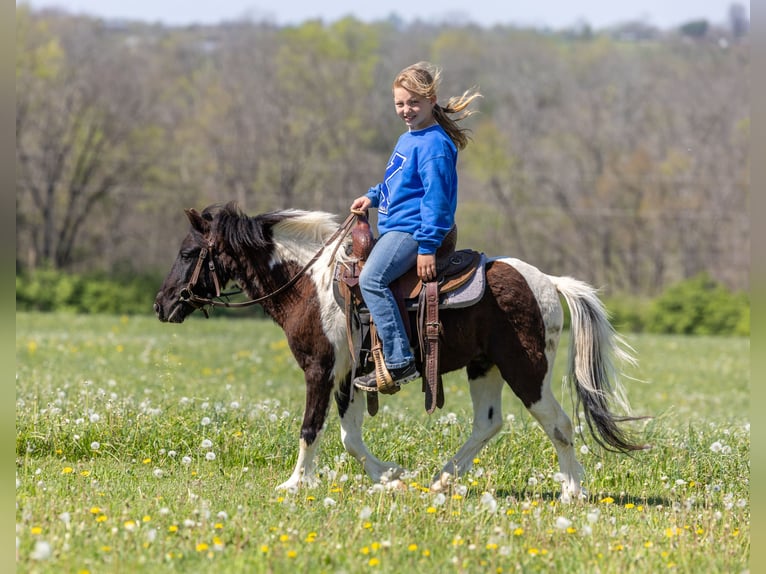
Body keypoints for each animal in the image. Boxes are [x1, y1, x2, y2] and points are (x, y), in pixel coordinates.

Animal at [153, 202, 647, 501]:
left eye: (188, 252)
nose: (162, 304)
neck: (309, 285)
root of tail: (546, 281)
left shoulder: (319, 370)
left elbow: (310, 428)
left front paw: (295, 484)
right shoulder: (349, 377)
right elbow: (350, 438)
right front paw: (388, 477)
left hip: (527, 370)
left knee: (559, 424)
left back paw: (572, 492)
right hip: (484, 367)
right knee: (488, 424)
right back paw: (442, 479)